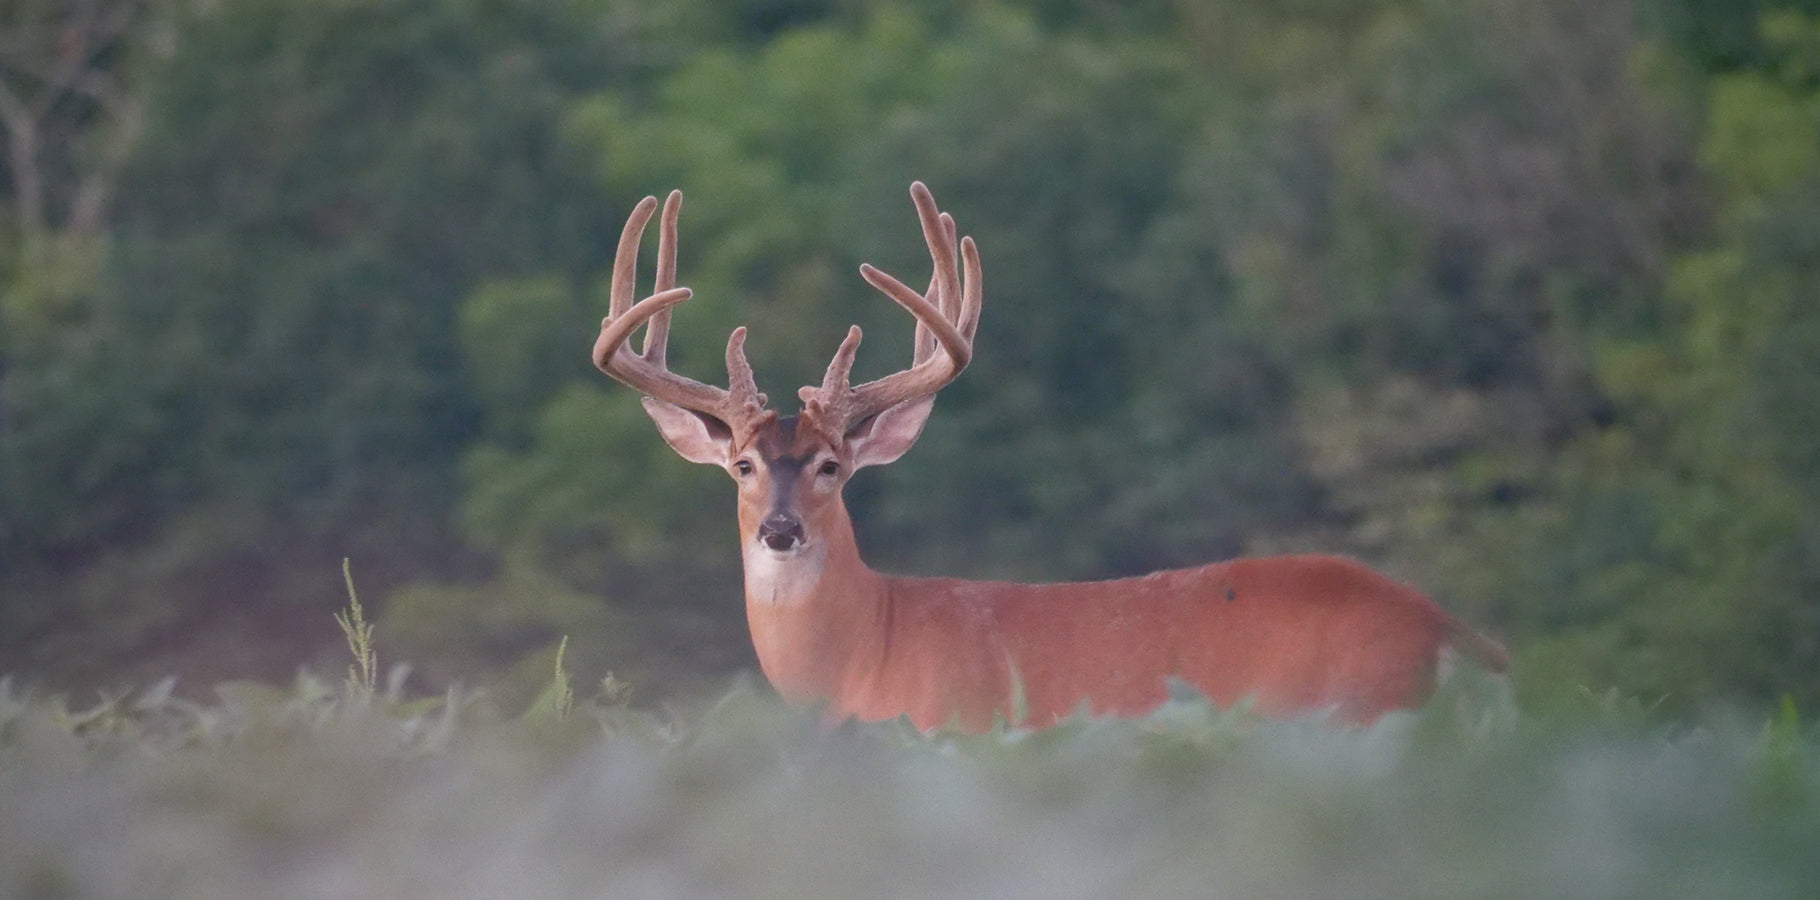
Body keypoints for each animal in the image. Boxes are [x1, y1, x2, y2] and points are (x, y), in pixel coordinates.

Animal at [593, 181, 1506, 734]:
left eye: (830, 466)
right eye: (744, 466)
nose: (780, 531)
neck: (862, 657)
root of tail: (1458, 639)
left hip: (1358, 720)